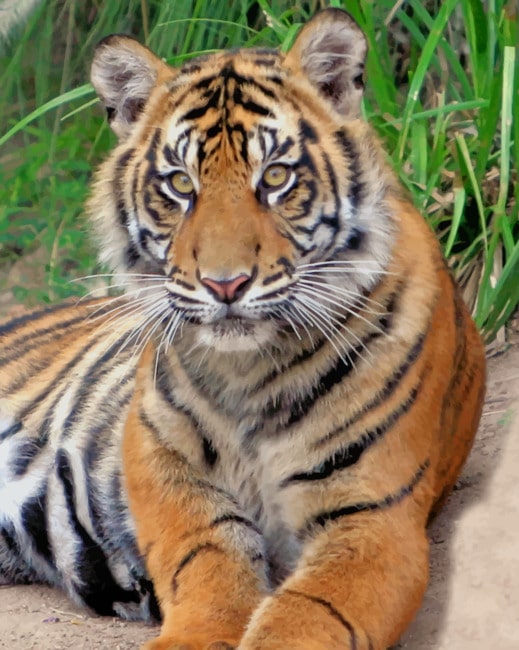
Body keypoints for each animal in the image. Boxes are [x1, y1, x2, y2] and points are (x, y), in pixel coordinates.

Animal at [0, 8, 486, 650]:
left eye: (275, 177)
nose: (225, 284)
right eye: (181, 184)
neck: (251, 373)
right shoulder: (160, 463)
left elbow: (306, 615)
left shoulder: (373, 517)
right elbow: (210, 565)